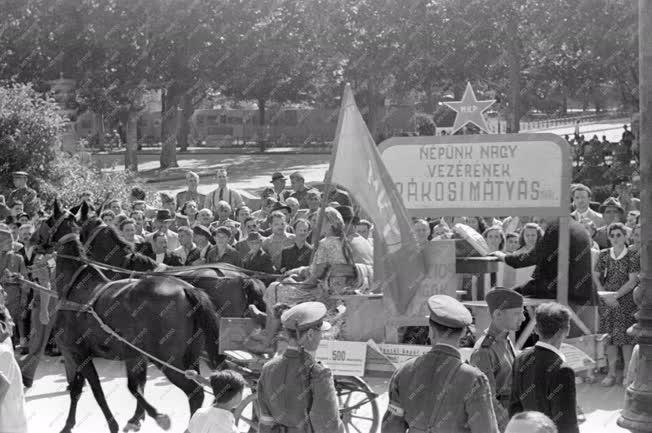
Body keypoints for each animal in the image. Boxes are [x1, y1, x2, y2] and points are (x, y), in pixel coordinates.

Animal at [32, 200, 227, 432]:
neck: (75, 286)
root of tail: (186, 289)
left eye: (46, 220)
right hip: (191, 358)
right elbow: (125, 387)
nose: (33, 241)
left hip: (169, 361)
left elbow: (97, 390)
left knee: (195, 393)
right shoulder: (133, 356)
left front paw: (122, 422)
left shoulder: (77, 353)